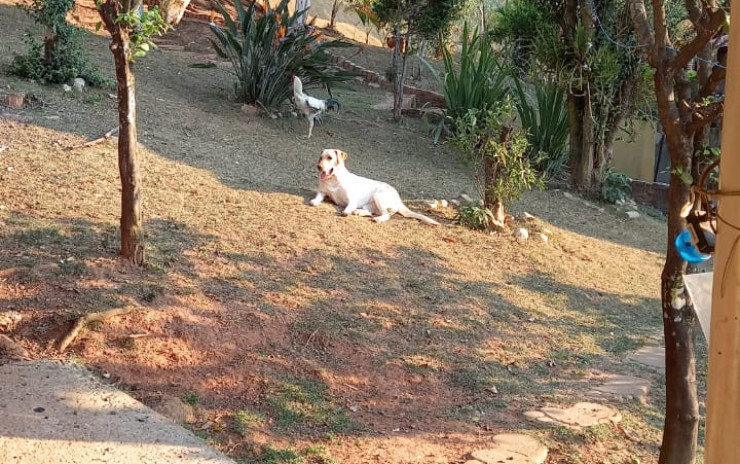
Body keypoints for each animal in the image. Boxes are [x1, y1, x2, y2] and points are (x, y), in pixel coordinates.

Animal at [308, 149, 440, 227]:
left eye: (330, 158)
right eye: (320, 158)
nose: (318, 167)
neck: (333, 179)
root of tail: (399, 199)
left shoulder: (352, 199)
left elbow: (349, 206)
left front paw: (346, 211)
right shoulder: (322, 191)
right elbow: (317, 198)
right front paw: (315, 201)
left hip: (379, 195)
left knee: (387, 215)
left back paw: (378, 219)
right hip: (371, 204)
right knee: (370, 212)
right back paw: (359, 212)